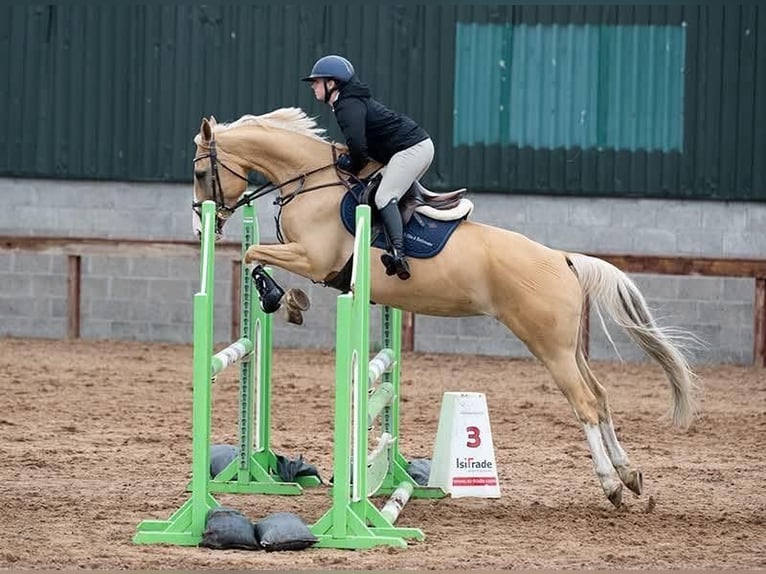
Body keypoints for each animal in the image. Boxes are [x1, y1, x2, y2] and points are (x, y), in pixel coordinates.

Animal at [191, 107, 698, 508]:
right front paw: (290, 301)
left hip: (549, 347)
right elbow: (256, 257)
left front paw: (282, 300)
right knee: (602, 396)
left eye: (198, 173)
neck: (310, 181)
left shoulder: (314, 258)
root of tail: (562, 259)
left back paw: (611, 485)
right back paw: (630, 475)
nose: (202, 227)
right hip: (568, 347)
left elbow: (255, 257)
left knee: (586, 404)